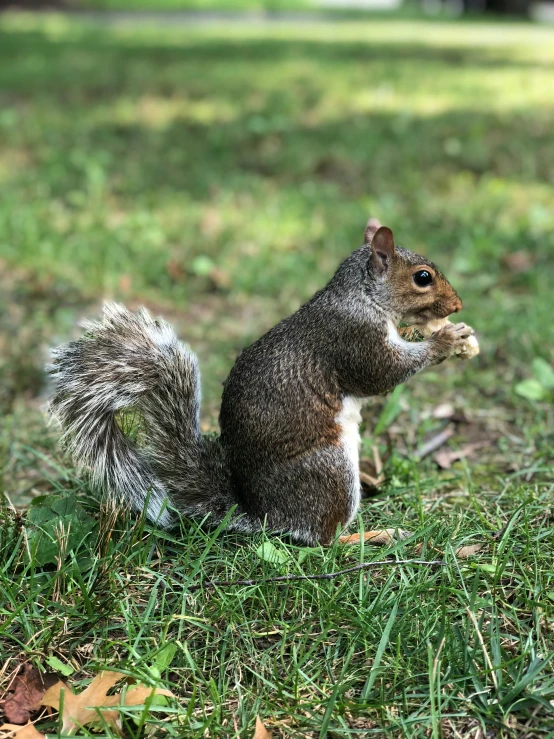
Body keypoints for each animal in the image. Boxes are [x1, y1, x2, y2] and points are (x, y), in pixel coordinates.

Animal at [48, 220, 470, 548]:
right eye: (422, 278)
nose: (458, 306)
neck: (362, 296)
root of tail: (263, 514)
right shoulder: (352, 338)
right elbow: (382, 373)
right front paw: (445, 341)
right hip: (330, 469)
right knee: (323, 538)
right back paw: (370, 536)